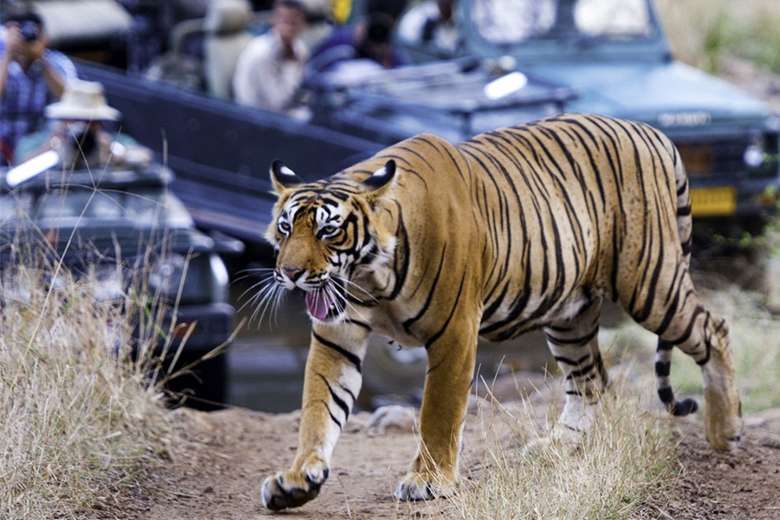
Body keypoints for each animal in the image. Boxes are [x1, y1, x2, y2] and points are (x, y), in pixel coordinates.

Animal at [258, 115, 740, 512]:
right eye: (285, 228)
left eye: (328, 230)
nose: (290, 273)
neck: (371, 277)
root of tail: (651, 131)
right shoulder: (336, 336)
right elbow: (319, 407)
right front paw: (297, 480)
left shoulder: (454, 331)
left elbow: (438, 412)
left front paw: (428, 481)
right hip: (570, 313)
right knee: (590, 380)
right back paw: (555, 448)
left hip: (649, 281)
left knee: (714, 329)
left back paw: (726, 432)